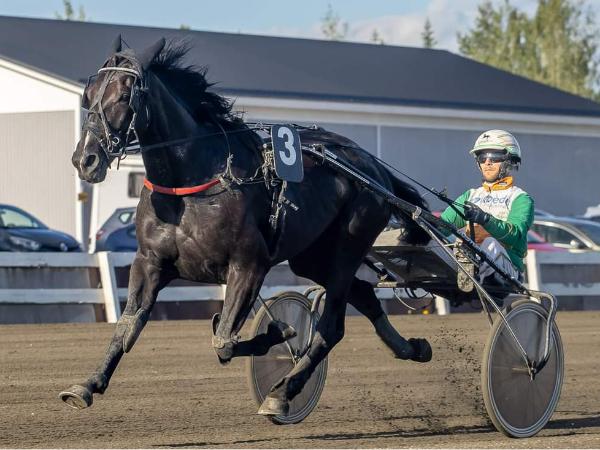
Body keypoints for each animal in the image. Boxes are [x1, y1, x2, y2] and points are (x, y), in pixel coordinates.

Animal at [62, 36, 432, 417]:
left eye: (124, 95)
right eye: (89, 93)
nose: (85, 159)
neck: (192, 183)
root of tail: (374, 167)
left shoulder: (248, 265)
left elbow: (223, 340)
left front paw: (278, 333)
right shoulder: (150, 262)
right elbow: (128, 326)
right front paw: (88, 384)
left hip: (349, 244)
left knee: (331, 326)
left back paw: (283, 392)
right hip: (313, 255)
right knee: (363, 294)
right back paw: (410, 348)